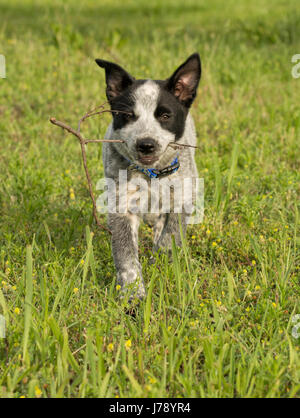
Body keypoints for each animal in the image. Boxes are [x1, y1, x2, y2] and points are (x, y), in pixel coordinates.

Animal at [95, 53, 200, 300]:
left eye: (165, 115)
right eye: (127, 116)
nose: (146, 145)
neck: (151, 176)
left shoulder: (180, 201)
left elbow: (169, 240)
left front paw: (159, 265)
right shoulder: (121, 207)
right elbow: (126, 257)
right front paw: (133, 295)